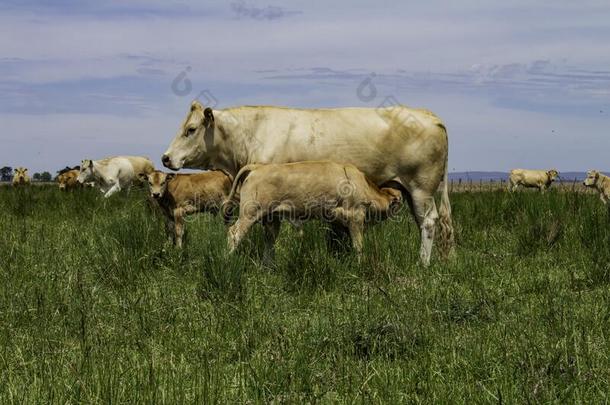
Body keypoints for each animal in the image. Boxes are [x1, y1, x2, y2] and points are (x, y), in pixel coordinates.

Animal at [221, 161, 402, 262]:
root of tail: (257, 167)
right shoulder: (356, 217)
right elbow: (358, 246)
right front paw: (360, 264)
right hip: (249, 214)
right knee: (234, 233)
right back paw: (228, 261)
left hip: (272, 218)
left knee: (269, 242)